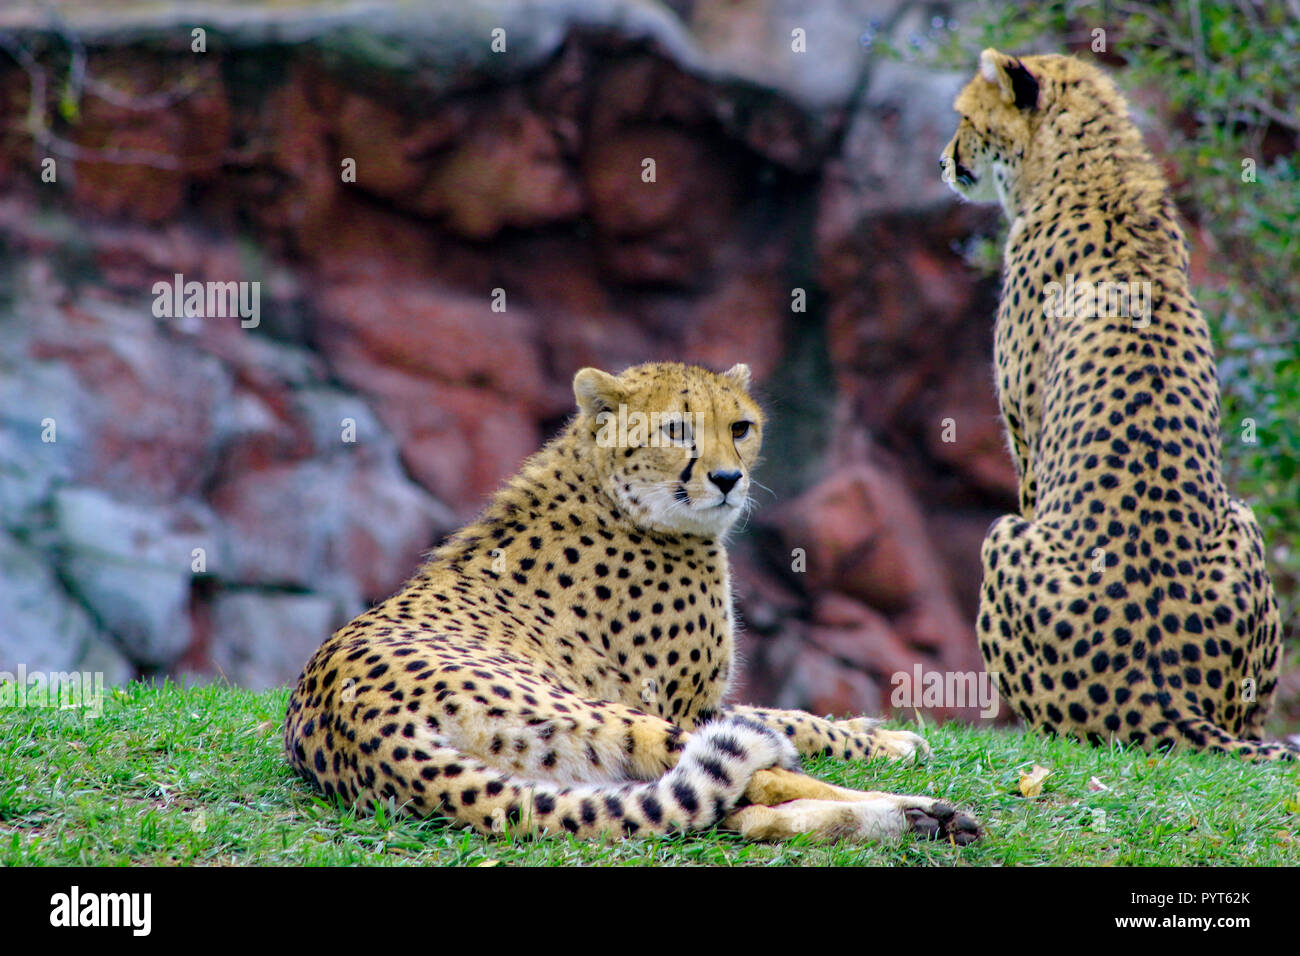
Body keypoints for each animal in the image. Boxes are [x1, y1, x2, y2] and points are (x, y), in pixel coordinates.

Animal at [284, 361, 977, 842]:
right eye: (676, 430)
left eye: (740, 428)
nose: (729, 479)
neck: (615, 493)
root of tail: (354, 726)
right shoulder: (687, 705)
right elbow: (780, 727)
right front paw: (884, 744)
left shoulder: (703, 705)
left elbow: (781, 715)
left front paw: (876, 729)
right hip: (606, 717)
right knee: (756, 780)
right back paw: (926, 812)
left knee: (738, 814)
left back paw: (913, 822)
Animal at [941, 48, 1294, 759]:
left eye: (965, 116)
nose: (944, 160)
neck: (1092, 170)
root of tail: (1167, 695)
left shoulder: (1027, 442)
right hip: (1242, 521)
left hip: (1003, 538)